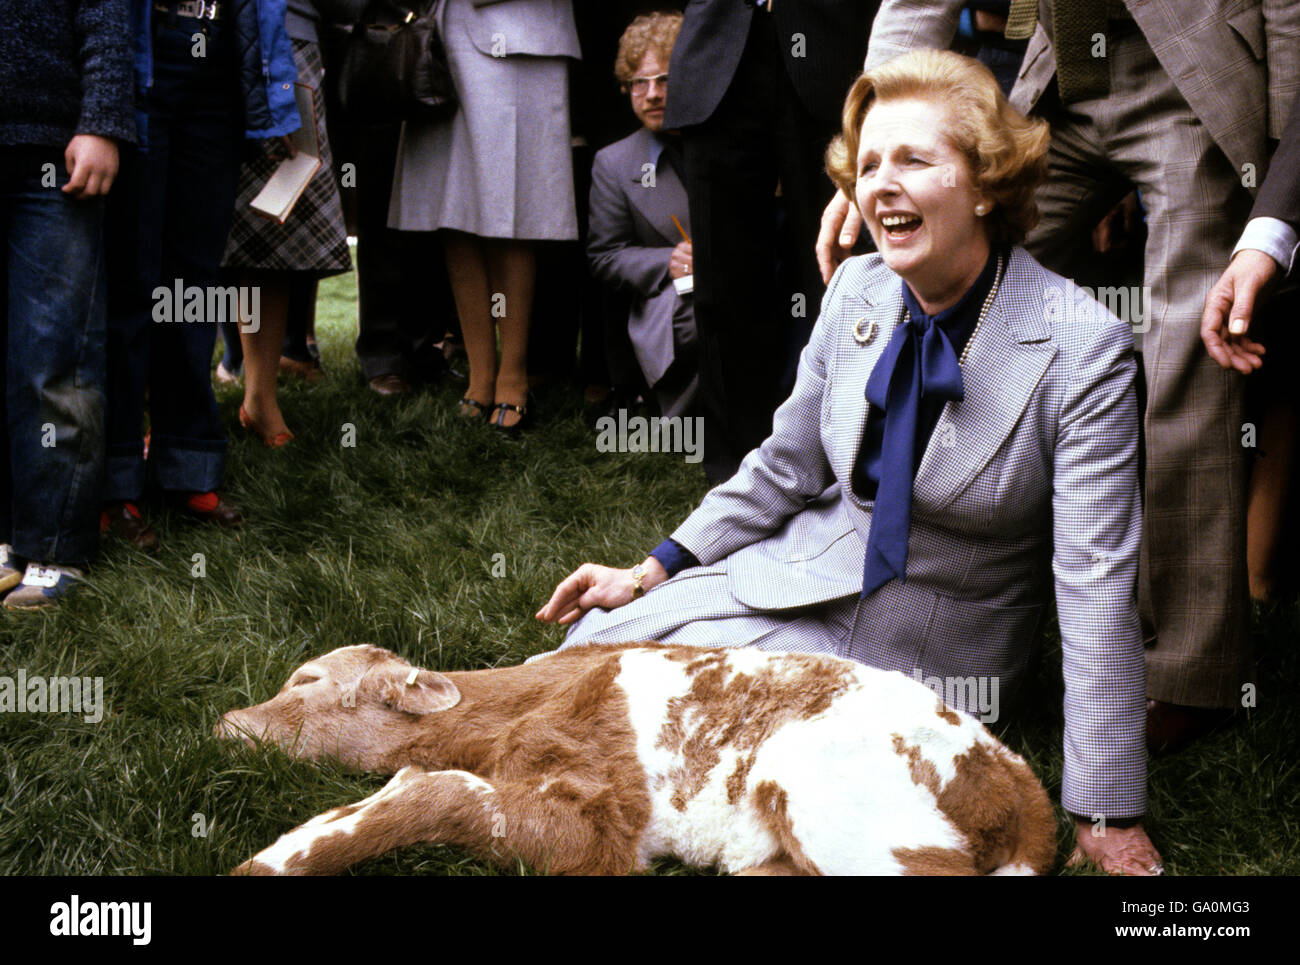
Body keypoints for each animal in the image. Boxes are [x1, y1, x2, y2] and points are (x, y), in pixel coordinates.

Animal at [218, 642, 1055, 879]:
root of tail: (1019, 783)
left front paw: (268, 862)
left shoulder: (600, 825)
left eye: (305, 680)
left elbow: (435, 788)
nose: (226, 721)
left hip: (838, 805)